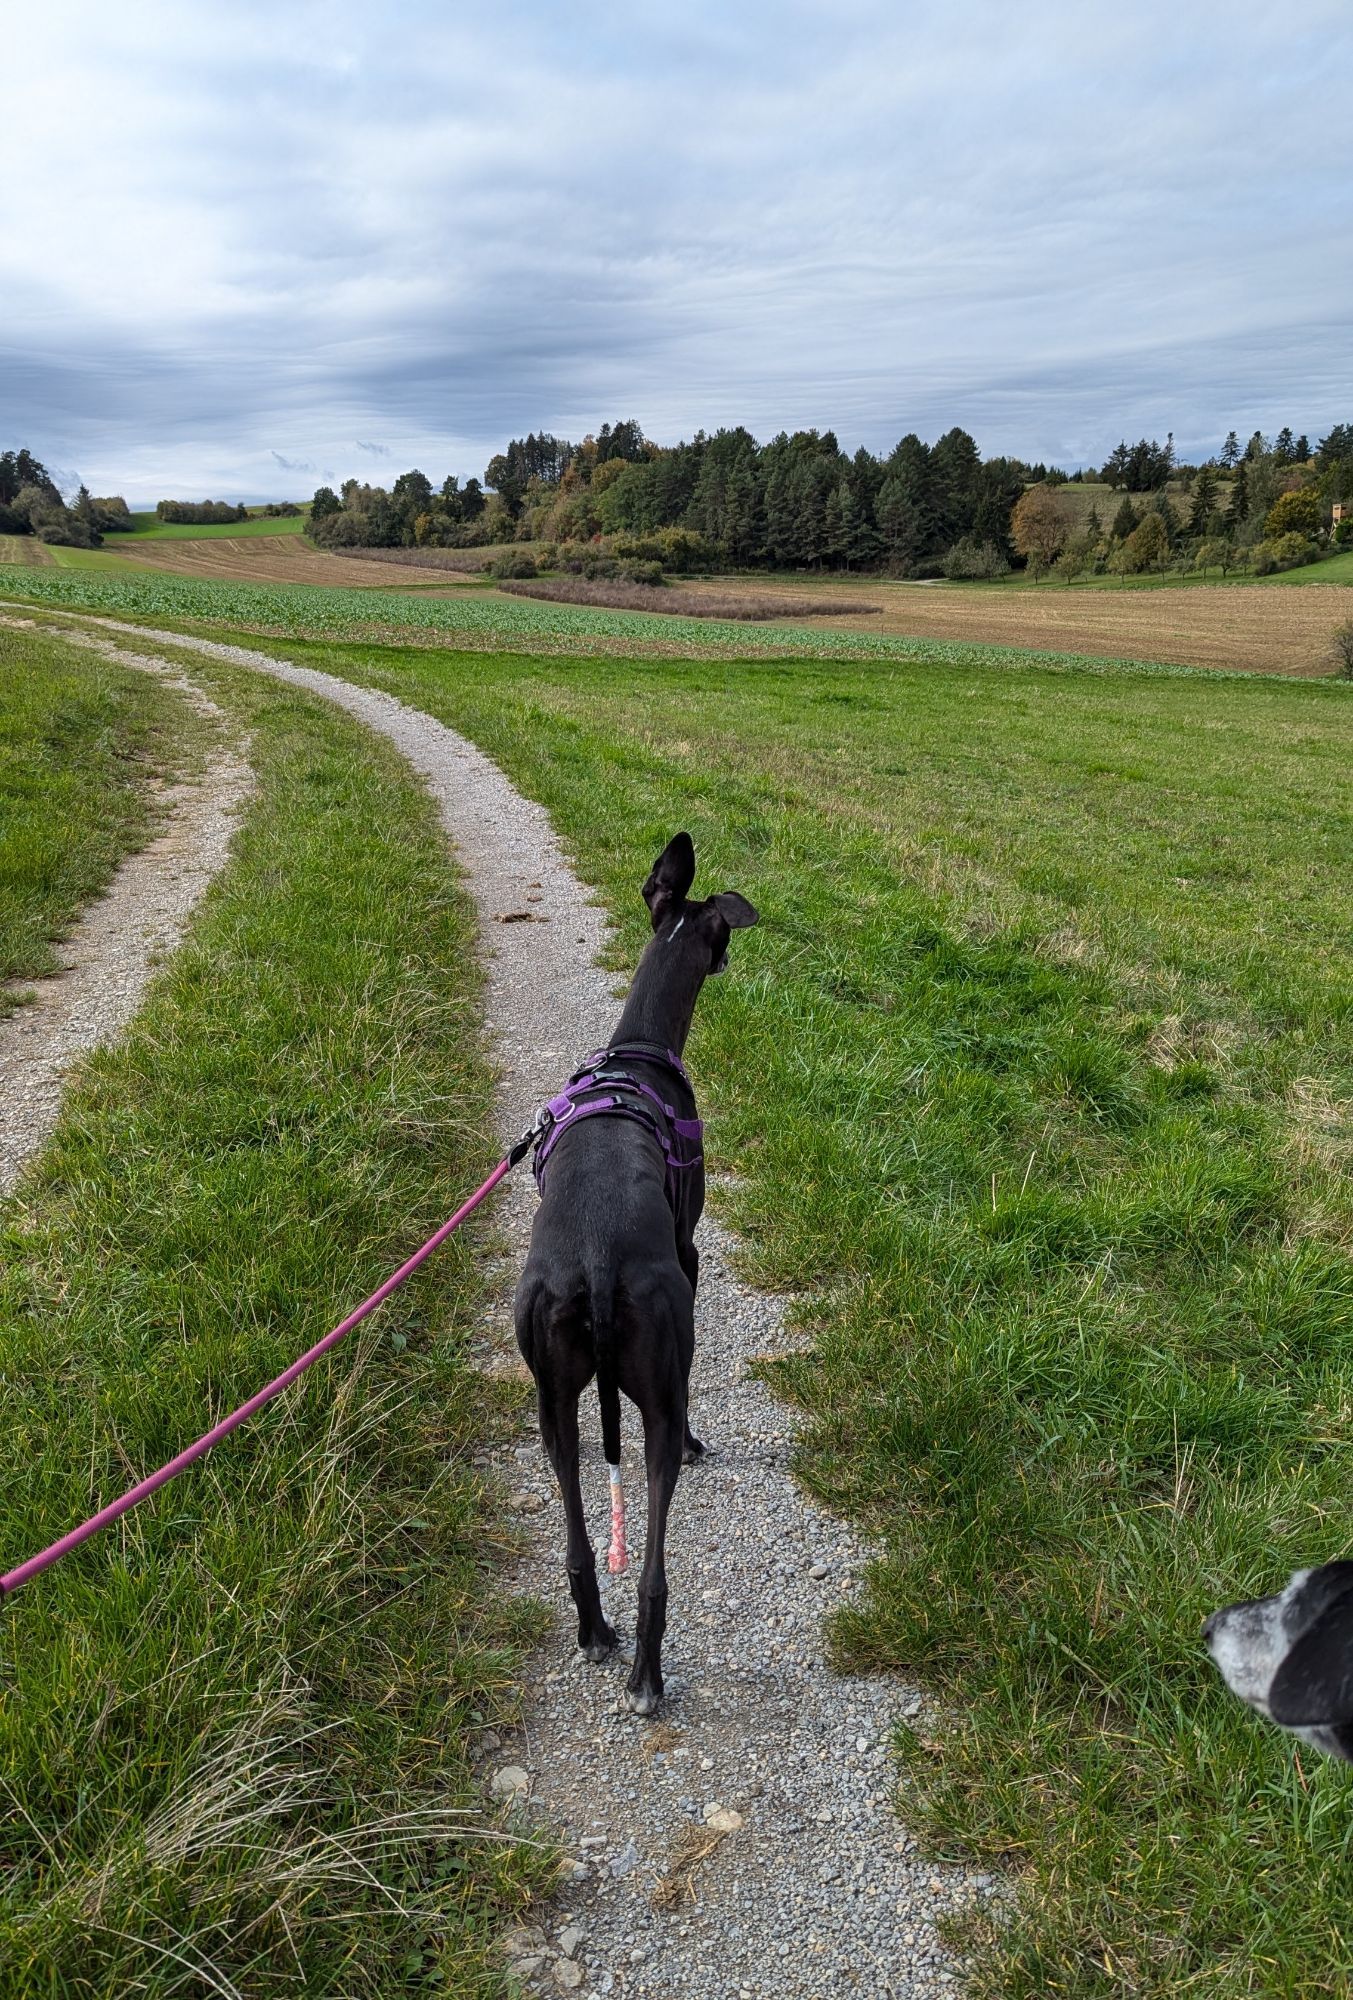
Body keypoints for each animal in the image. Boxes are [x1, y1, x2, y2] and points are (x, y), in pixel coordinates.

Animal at [512, 836, 756, 1712]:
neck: (639, 1050)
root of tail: (596, 1258)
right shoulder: (689, 1250)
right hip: (657, 1384)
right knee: (652, 1566)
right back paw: (647, 1673)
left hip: (550, 1397)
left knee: (580, 1543)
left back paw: (594, 1629)